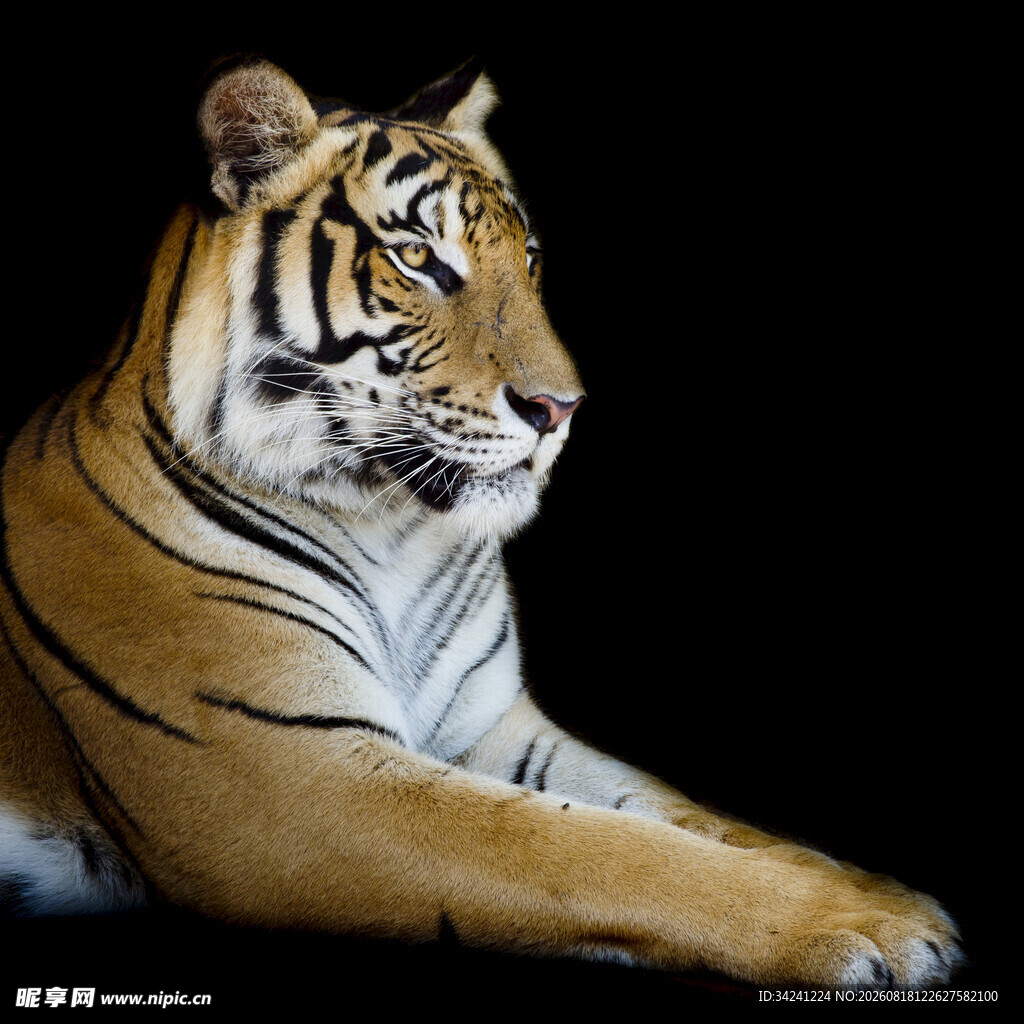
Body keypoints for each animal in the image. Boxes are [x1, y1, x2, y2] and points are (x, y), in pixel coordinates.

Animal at [0, 57, 961, 988]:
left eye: (529, 259)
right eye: (418, 258)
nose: (561, 409)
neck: (390, 528)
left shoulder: (489, 727)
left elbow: (689, 814)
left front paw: (882, 893)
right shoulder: (289, 775)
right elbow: (596, 848)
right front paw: (868, 926)